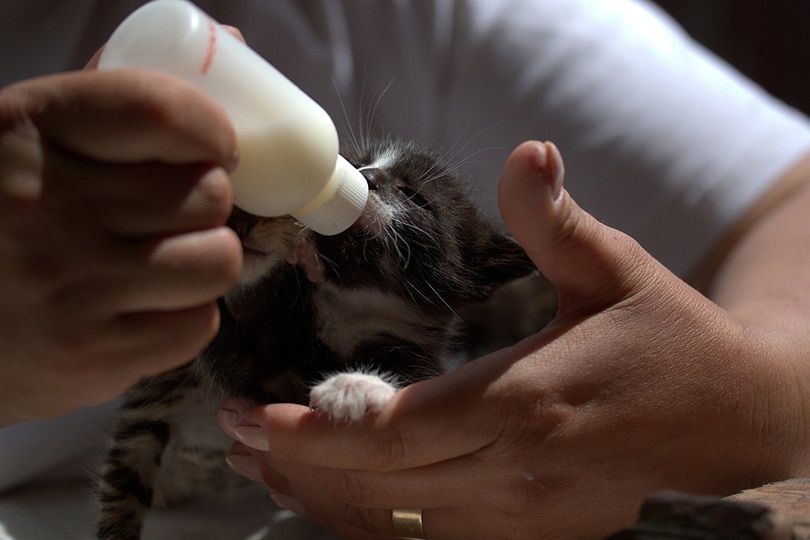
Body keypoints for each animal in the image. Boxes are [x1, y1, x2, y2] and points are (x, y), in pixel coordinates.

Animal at [98, 139, 548, 540]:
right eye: (361, 163)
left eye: (415, 197)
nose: (366, 177)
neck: (345, 314)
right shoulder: (260, 371)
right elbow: (234, 352)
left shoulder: (414, 353)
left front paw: (355, 386)